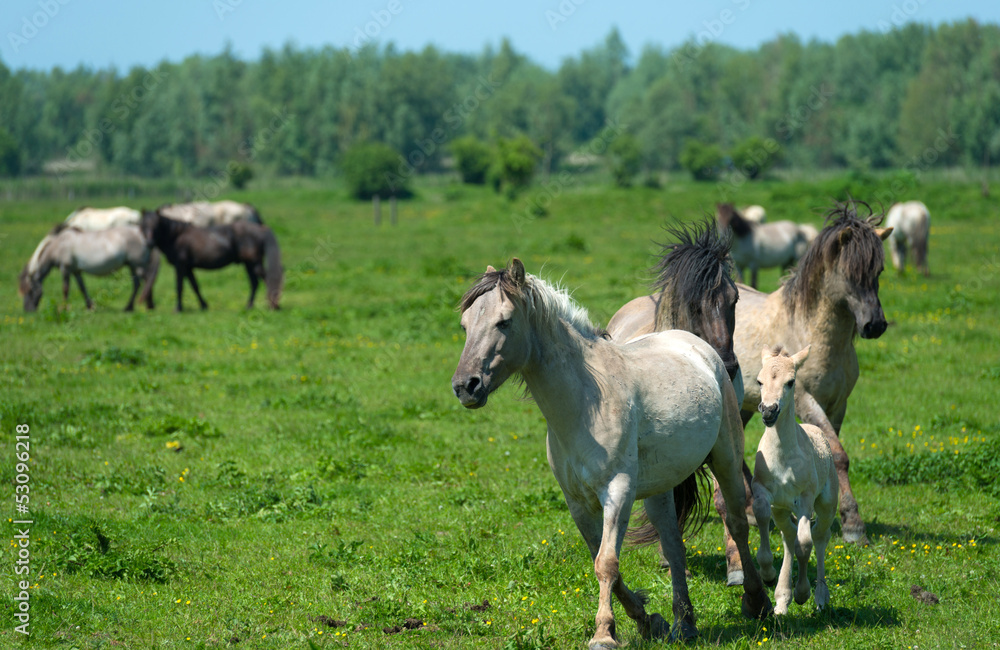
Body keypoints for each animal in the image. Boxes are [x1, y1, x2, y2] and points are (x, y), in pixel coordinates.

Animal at [18, 223, 156, 312]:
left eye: (30, 290)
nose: (27, 310)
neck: (59, 245)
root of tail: (142, 234)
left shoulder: (65, 269)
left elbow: (65, 289)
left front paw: (64, 307)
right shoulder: (76, 271)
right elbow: (82, 287)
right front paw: (89, 305)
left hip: (137, 265)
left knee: (147, 280)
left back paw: (146, 305)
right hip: (132, 266)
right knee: (138, 283)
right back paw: (132, 307)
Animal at [139, 208, 284, 308]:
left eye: (156, 225)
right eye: (144, 225)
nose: (149, 243)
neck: (177, 236)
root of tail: (260, 229)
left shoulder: (180, 266)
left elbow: (179, 286)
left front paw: (178, 309)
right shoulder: (188, 268)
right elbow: (195, 286)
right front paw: (204, 305)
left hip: (254, 263)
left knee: (267, 279)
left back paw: (273, 305)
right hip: (248, 264)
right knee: (255, 283)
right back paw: (249, 306)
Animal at [454, 256, 772, 644]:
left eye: (504, 321)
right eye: (465, 324)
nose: (465, 386)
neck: (586, 403)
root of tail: (701, 348)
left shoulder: (617, 491)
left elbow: (606, 563)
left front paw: (604, 633)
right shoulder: (577, 502)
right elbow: (605, 561)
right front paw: (648, 621)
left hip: (725, 458)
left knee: (738, 523)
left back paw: (757, 602)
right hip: (660, 489)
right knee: (674, 547)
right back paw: (684, 623)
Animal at [752, 344, 840, 612]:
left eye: (790, 382)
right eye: (759, 381)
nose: (769, 410)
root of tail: (814, 428)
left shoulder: (805, 499)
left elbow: (805, 543)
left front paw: (803, 593)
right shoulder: (762, 490)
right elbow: (761, 513)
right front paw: (767, 573)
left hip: (827, 501)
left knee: (820, 536)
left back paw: (820, 596)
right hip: (781, 508)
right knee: (788, 535)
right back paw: (782, 598)